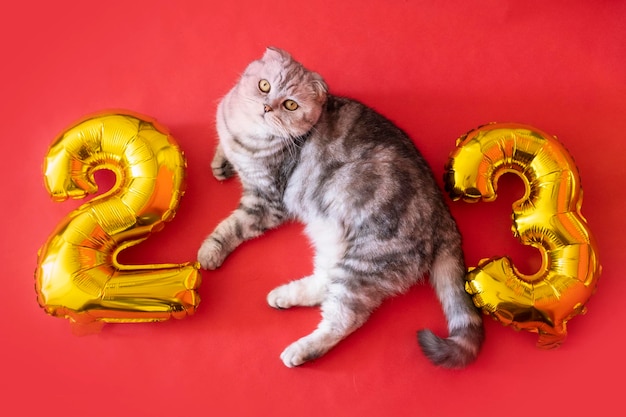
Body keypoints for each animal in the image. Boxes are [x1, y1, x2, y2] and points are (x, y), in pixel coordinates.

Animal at [196, 48, 482, 368]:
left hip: (365, 263)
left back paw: (300, 349)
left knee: (343, 318)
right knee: (325, 283)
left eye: (290, 105)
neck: (243, 133)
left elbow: (230, 227)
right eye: (264, 86)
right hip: (335, 245)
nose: (268, 108)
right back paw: (284, 295)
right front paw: (220, 163)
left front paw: (210, 252)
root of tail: (444, 217)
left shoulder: (265, 202)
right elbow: (224, 149)